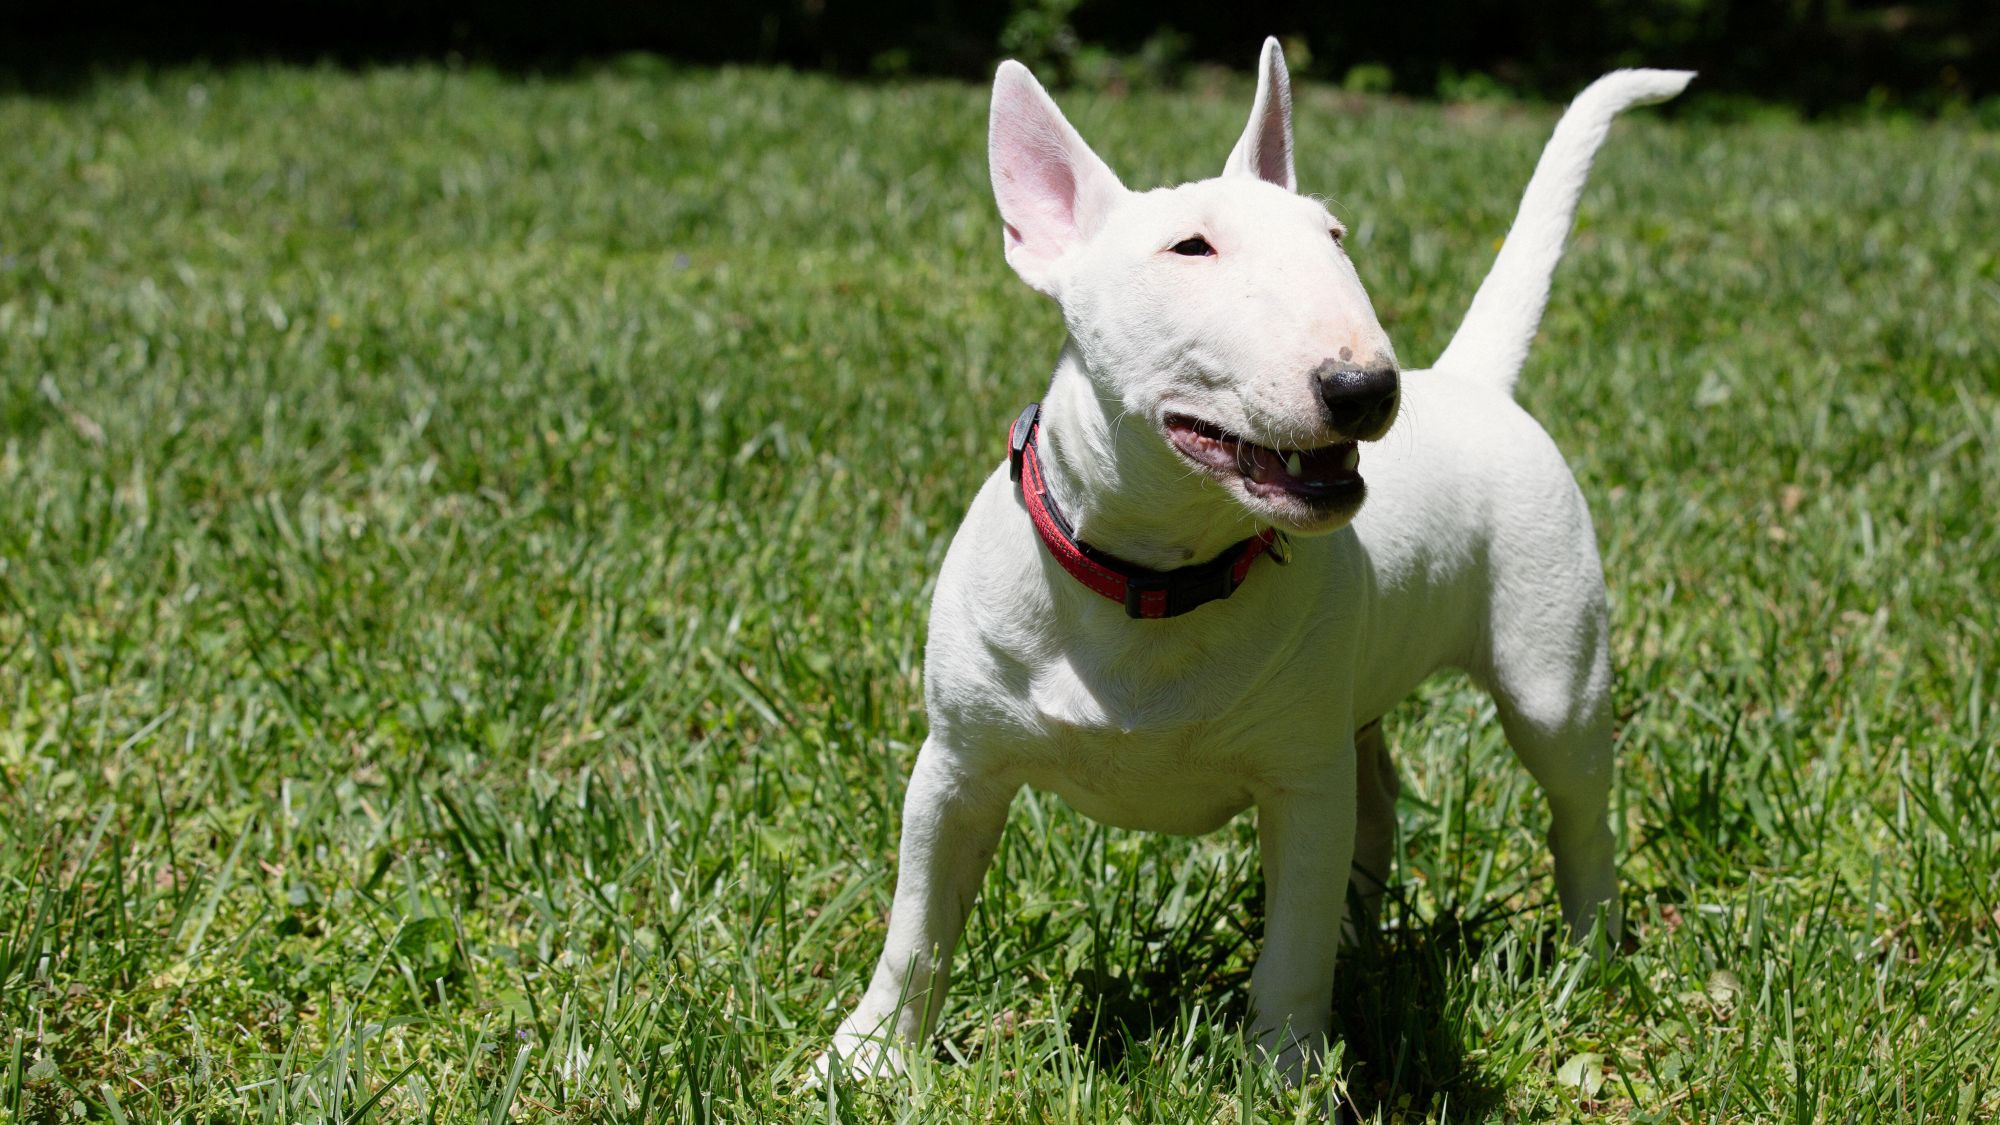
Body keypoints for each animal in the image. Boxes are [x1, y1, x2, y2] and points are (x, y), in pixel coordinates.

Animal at [824, 39, 1688, 1072]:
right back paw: (1367, 940)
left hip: (1553, 674)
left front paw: (1285, 1069)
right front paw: (865, 1055)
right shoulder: (955, 765)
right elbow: (917, 922)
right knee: (1377, 800)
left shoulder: (1300, 778)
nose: (1366, 386)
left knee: (1575, 810)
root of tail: (1473, 380)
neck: (1156, 579)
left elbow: (1292, 941)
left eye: (1336, 237)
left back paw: (1592, 953)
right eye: (1189, 248)